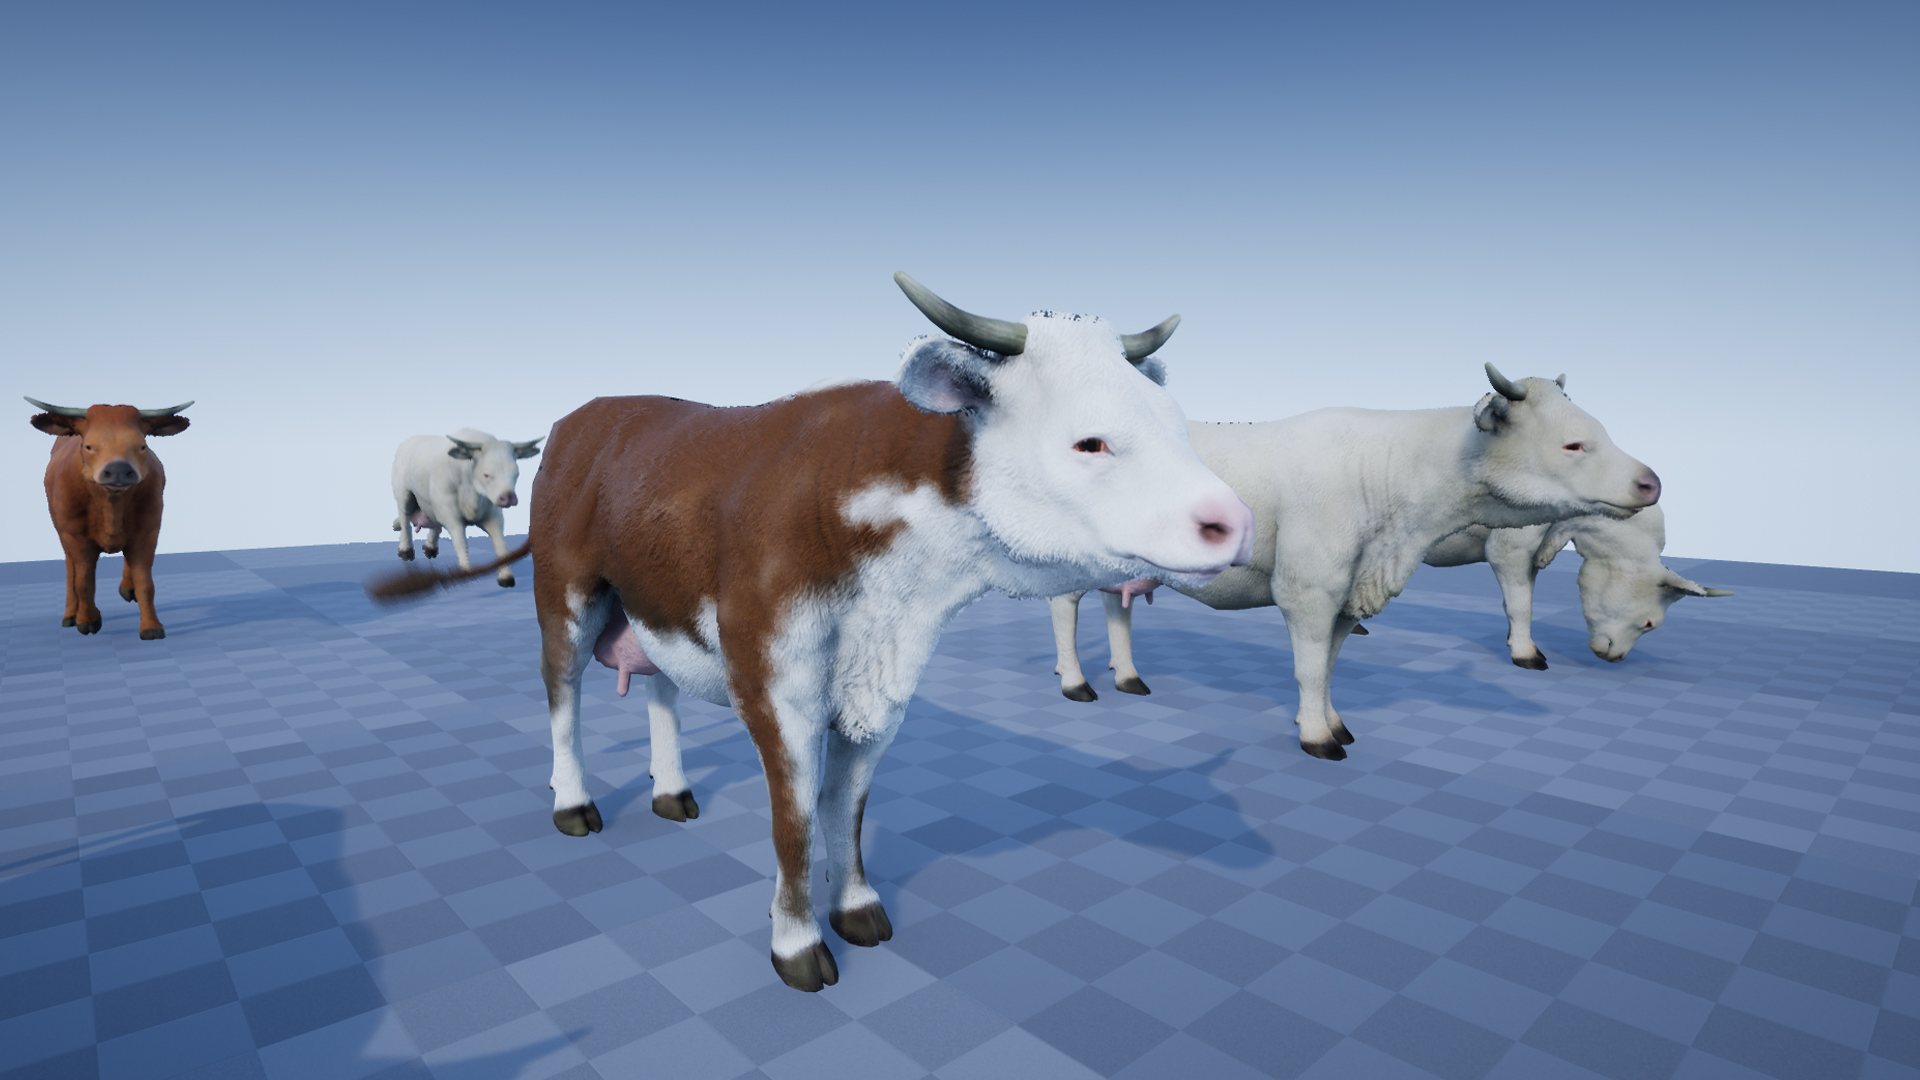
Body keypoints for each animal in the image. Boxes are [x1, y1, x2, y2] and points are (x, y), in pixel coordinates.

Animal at [26, 397, 193, 640]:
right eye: (88, 445)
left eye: (142, 446)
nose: (118, 470)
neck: (111, 507)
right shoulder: (76, 536)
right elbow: (83, 581)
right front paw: (87, 620)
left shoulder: (148, 531)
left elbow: (145, 582)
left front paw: (151, 626)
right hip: (62, 531)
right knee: (70, 568)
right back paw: (70, 614)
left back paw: (127, 587)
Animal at [390, 429, 541, 587]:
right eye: (486, 474)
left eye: (516, 474)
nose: (508, 497)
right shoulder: (450, 513)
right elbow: (461, 541)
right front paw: (466, 572)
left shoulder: (493, 515)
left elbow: (501, 544)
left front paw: (506, 576)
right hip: (403, 492)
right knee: (404, 518)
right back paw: (405, 549)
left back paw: (430, 547)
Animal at [1047, 368, 1659, 760]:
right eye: (1573, 444)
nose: (1652, 481)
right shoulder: (1309, 588)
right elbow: (1311, 668)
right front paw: (1316, 738)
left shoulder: (1348, 592)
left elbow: (1331, 665)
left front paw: (1329, 722)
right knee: (1064, 608)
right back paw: (1076, 682)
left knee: (1116, 604)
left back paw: (1127, 676)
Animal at [1053, 503, 1732, 699]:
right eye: (1651, 620)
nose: (1612, 657)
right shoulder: (1510, 547)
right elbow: (1519, 602)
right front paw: (1525, 652)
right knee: (1066, 606)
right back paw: (1075, 679)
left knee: (1116, 602)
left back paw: (1126, 673)